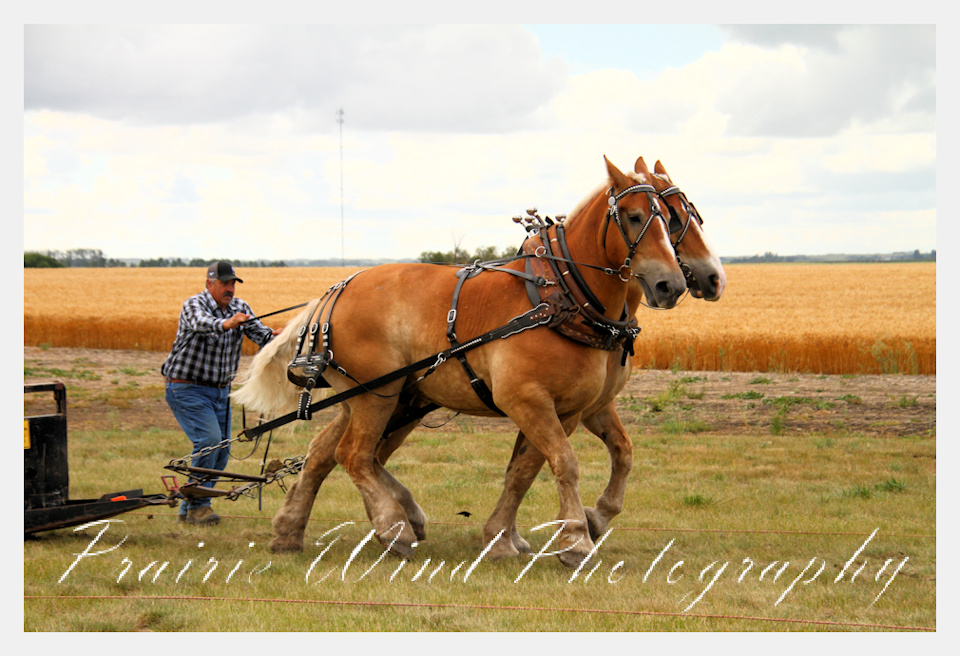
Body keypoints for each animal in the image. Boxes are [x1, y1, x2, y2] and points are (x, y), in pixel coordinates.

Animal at [232, 156, 687, 567]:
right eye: (633, 217)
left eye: (670, 220)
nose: (673, 284)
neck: (560, 296)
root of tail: (334, 290)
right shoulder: (527, 400)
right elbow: (564, 463)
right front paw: (576, 539)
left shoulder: (574, 407)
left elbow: (533, 468)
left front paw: (506, 538)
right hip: (376, 395)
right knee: (355, 455)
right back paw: (394, 527)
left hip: (382, 398)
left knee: (325, 454)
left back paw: (291, 531)